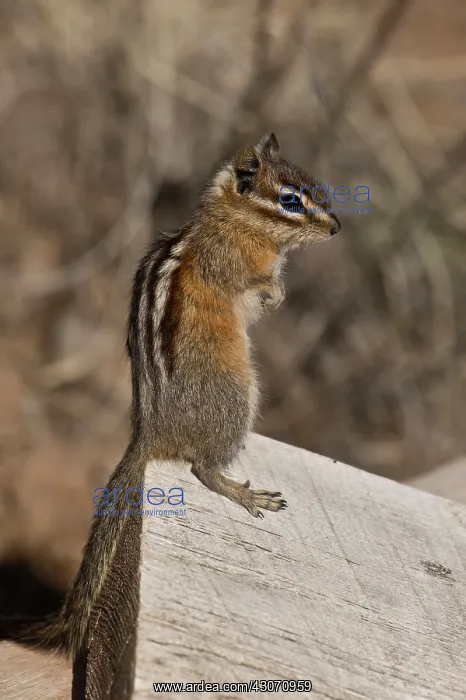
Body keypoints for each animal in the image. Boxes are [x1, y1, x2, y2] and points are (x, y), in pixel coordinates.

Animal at [1, 132, 340, 662]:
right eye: (290, 200)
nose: (336, 226)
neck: (234, 221)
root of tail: (151, 431)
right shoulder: (231, 263)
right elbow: (253, 282)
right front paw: (276, 291)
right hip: (236, 396)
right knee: (202, 468)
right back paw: (242, 492)